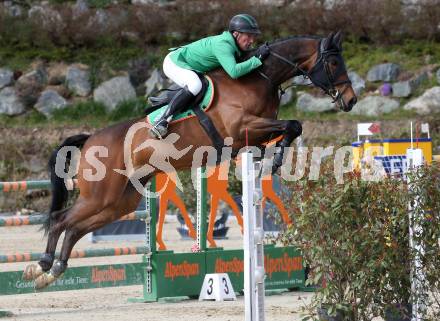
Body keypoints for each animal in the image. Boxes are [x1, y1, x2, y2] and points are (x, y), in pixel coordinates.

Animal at [22, 31, 358, 288]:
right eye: (333, 62)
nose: (351, 100)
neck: (258, 78)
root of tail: (90, 138)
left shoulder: (256, 131)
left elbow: (292, 127)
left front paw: (274, 157)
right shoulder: (242, 128)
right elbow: (292, 124)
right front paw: (275, 160)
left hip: (119, 202)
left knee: (75, 228)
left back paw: (52, 272)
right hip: (100, 194)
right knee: (61, 220)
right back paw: (42, 264)